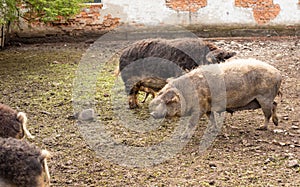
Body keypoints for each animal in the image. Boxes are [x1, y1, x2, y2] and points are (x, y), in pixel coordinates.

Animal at [151, 58, 282, 130]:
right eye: (160, 95)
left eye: (168, 101)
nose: (152, 113)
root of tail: (278, 73)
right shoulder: (208, 107)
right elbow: (211, 118)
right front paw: (213, 129)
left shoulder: (200, 107)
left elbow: (192, 123)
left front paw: (183, 136)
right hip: (258, 100)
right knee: (275, 104)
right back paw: (276, 123)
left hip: (264, 97)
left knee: (268, 113)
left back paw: (261, 128)